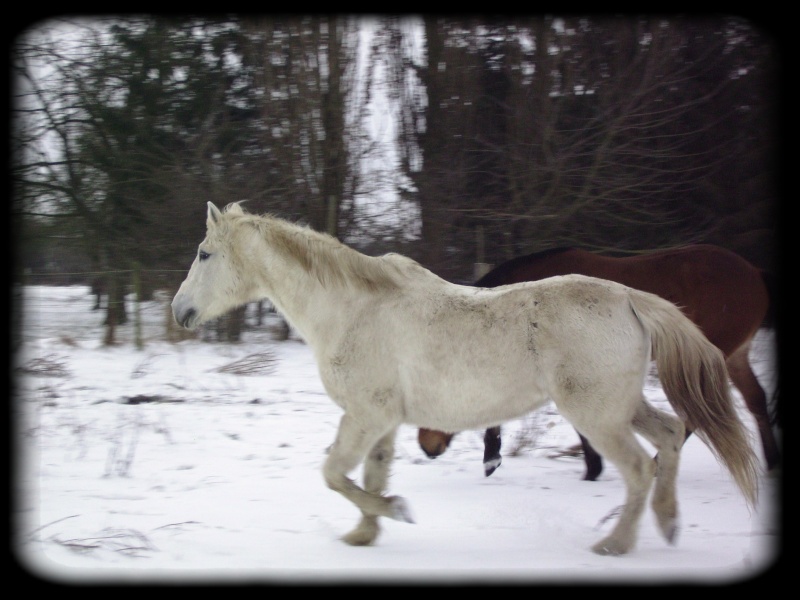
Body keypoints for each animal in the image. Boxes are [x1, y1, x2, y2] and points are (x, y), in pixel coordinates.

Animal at [416, 244, 780, 478]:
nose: (426, 446)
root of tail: (754, 272)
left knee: (698, 414)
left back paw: (659, 463)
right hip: (733, 358)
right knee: (754, 401)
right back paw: (772, 462)